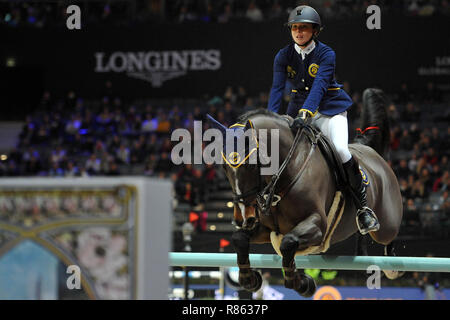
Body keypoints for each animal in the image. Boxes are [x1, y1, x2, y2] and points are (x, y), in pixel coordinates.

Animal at [208, 88, 404, 298]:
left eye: (251, 165)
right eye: (224, 167)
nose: (243, 218)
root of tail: (373, 153)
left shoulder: (318, 225)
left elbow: (288, 242)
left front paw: (301, 283)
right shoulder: (268, 229)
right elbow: (240, 238)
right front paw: (248, 279)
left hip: (385, 225)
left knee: (389, 235)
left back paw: (391, 265)